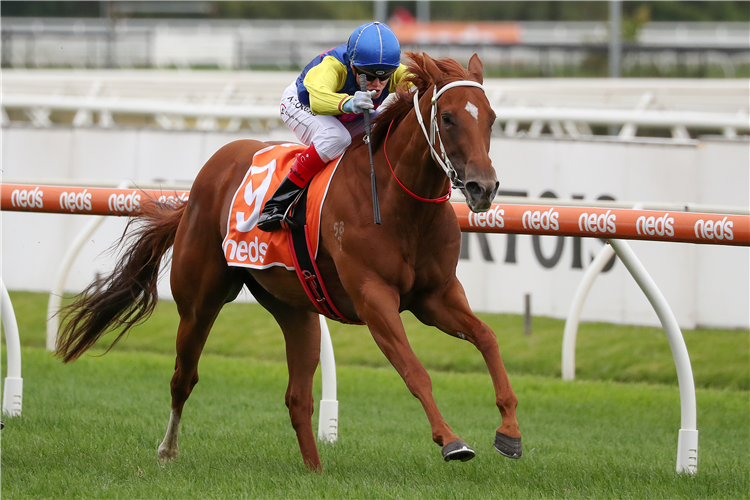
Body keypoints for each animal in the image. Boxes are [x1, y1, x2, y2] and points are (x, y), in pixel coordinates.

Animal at [57, 52, 524, 470]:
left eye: (490, 118)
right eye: (447, 117)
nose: (483, 188)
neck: (401, 206)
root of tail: (203, 182)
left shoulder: (435, 296)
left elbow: (487, 338)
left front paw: (510, 432)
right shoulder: (374, 299)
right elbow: (415, 370)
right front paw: (451, 440)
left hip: (295, 309)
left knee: (297, 396)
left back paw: (315, 470)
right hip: (199, 303)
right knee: (183, 378)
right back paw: (167, 451)